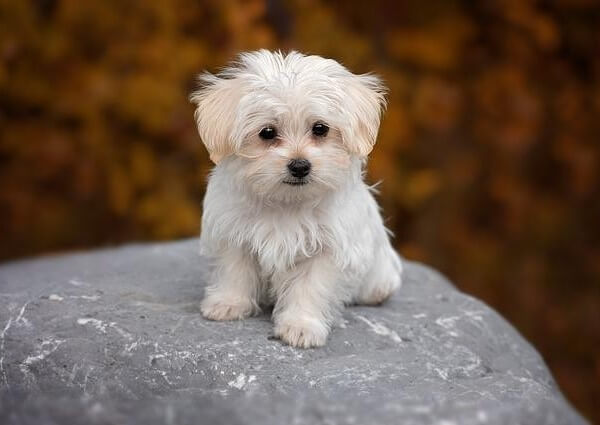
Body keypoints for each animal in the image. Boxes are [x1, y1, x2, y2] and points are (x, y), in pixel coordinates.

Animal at [192, 50, 404, 348]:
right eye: (267, 133)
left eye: (320, 128)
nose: (300, 165)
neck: (286, 202)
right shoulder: (234, 233)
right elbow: (234, 270)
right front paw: (228, 303)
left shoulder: (327, 250)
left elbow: (309, 288)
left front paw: (301, 326)